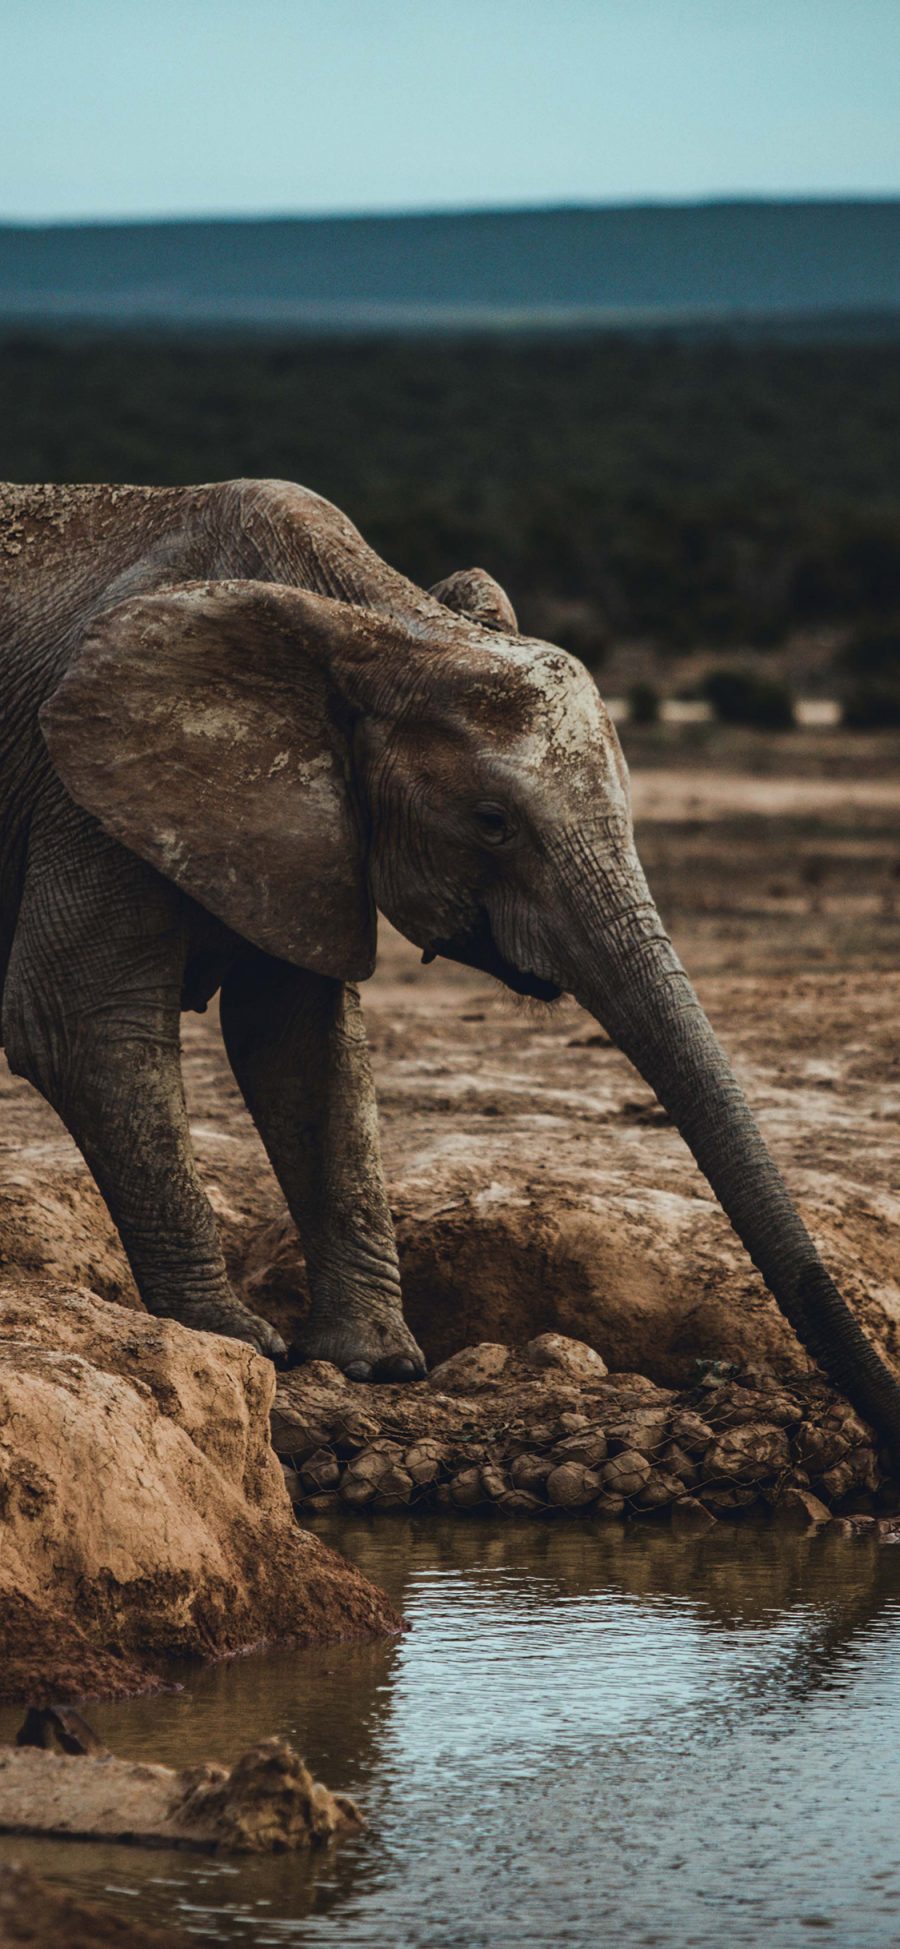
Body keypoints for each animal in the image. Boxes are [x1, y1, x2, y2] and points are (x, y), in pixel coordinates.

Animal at [1, 477, 900, 1450]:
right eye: (492, 823)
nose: (881, 1429)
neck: (384, 621)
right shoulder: (86, 783)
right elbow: (78, 1022)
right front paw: (238, 1340)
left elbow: (300, 1040)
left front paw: (375, 1365)